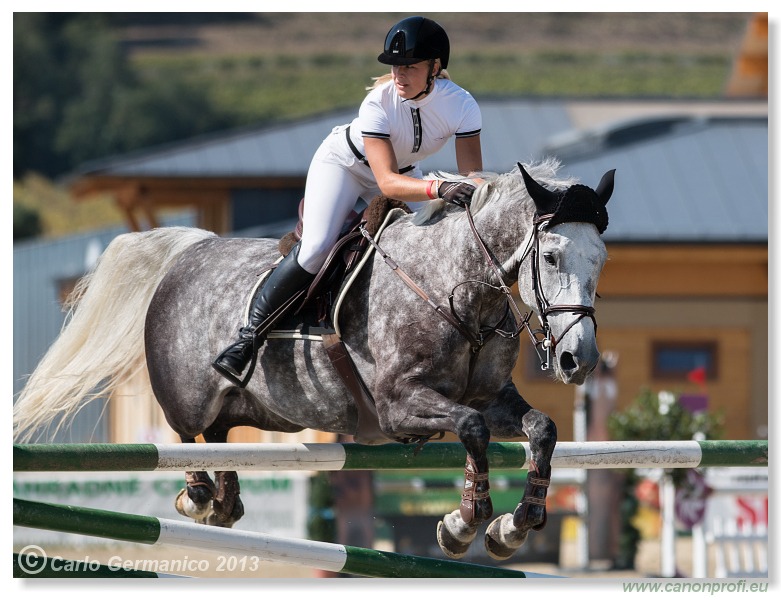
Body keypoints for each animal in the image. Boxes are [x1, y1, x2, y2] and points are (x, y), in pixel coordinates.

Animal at [13, 159, 616, 564]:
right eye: (552, 256)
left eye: (602, 258)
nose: (579, 359)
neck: (459, 290)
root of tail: (191, 249)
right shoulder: (400, 405)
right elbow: (470, 430)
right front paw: (462, 524)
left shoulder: (491, 398)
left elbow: (541, 429)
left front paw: (514, 525)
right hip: (187, 397)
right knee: (185, 435)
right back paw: (199, 497)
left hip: (250, 410)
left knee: (222, 440)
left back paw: (224, 501)